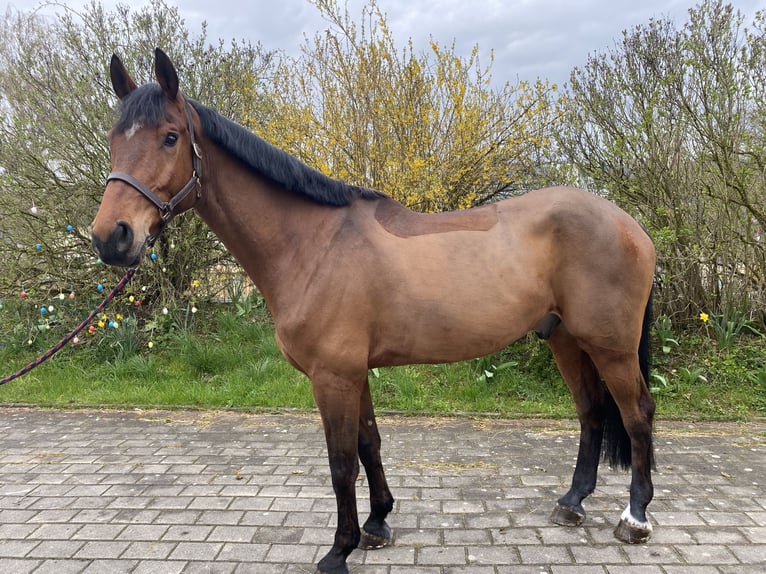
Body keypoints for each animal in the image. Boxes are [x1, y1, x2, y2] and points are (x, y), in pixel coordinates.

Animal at [91, 49, 657, 574]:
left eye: (169, 137)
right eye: (114, 139)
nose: (111, 237)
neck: (313, 244)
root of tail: (629, 224)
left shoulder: (333, 376)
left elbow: (342, 463)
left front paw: (338, 550)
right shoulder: (353, 372)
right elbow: (370, 444)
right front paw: (378, 523)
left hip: (611, 347)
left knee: (637, 415)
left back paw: (635, 518)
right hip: (565, 338)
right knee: (590, 414)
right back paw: (572, 502)